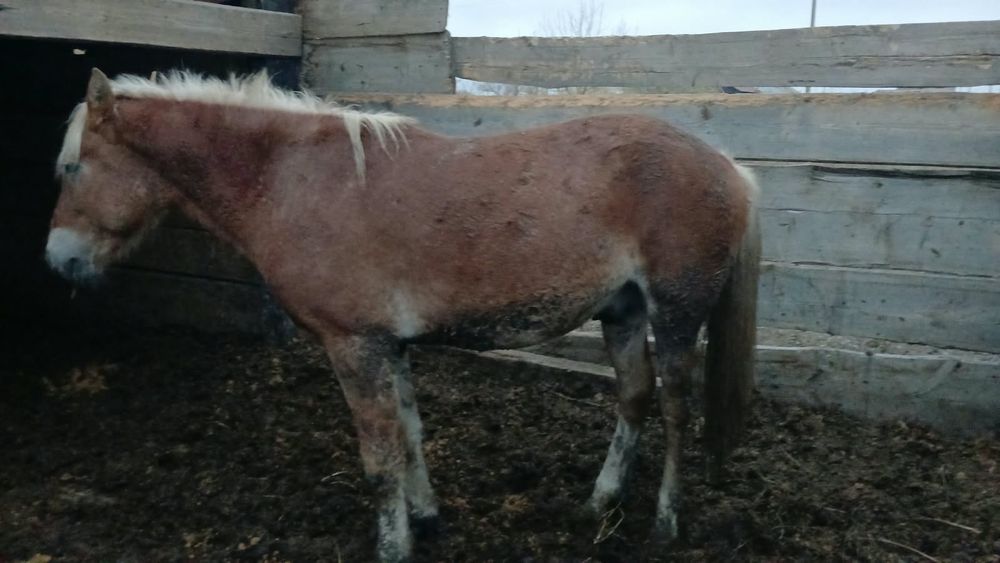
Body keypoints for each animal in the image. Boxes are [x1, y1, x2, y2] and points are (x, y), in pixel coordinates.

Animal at [46, 69, 760, 561]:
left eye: (73, 168)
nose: (58, 259)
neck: (295, 180)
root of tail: (730, 167)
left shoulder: (353, 346)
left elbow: (380, 457)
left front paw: (393, 546)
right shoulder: (391, 346)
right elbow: (411, 435)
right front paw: (426, 518)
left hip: (674, 315)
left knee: (674, 409)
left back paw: (666, 521)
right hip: (623, 312)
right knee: (634, 398)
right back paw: (599, 502)